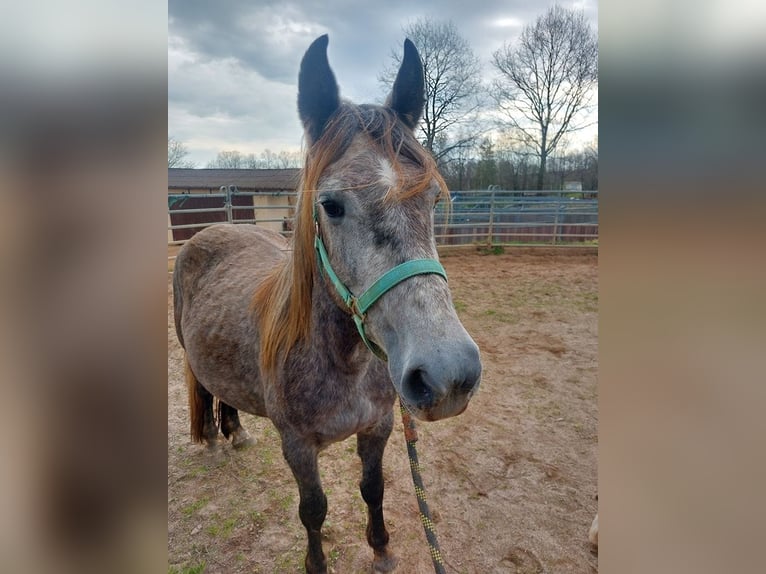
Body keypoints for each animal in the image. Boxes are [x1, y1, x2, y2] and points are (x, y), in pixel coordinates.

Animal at [176, 36, 480, 574]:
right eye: (331, 205)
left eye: (431, 199)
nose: (449, 375)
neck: (345, 362)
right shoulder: (297, 446)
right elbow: (313, 509)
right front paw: (316, 564)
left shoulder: (379, 427)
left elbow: (373, 488)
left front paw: (382, 550)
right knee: (203, 386)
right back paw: (214, 439)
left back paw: (236, 432)